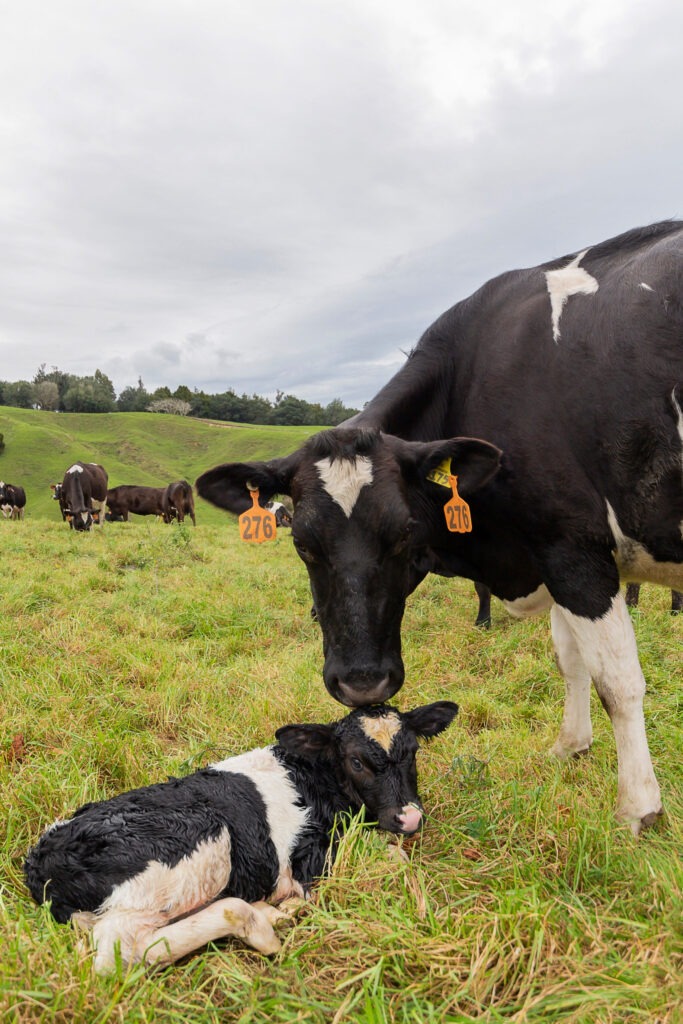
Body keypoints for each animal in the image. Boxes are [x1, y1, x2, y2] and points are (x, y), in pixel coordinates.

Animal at [25, 700, 458, 970]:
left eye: (414, 752)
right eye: (356, 761)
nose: (409, 819)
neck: (313, 775)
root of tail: (40, 858)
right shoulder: (311, 863)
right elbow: (397, 859)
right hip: (196, 842)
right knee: (121, 951)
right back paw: (260, 924)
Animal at [196, 222, 683, 831]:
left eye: (405, 533)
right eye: (302, 543)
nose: (362, 682)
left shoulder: (576, 550)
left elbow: (617, 681)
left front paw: (639, 807)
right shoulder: (553, 551)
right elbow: (570, 661)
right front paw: (570, 746)